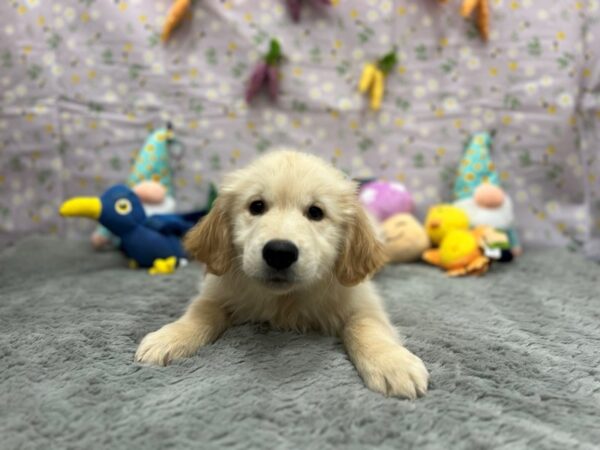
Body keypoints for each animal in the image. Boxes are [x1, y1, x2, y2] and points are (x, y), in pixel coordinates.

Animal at [135, 150, 426, 398]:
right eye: (256, 206)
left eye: (316, 212)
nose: (279, 252)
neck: (285, 299)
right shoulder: (217, 289)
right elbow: (201, 312)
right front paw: (168, 337)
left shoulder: (362, 301)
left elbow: (365, 327)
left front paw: (392, 363)